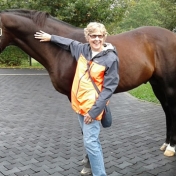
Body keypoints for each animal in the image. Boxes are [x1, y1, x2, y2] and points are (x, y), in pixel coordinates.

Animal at [0, 8, 176, 156]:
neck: (59, 51)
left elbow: (85, 129)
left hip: (168, 85)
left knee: (172, 110)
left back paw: (171, 148)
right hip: (157, 84)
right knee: (167, 109)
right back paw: (166, 144)